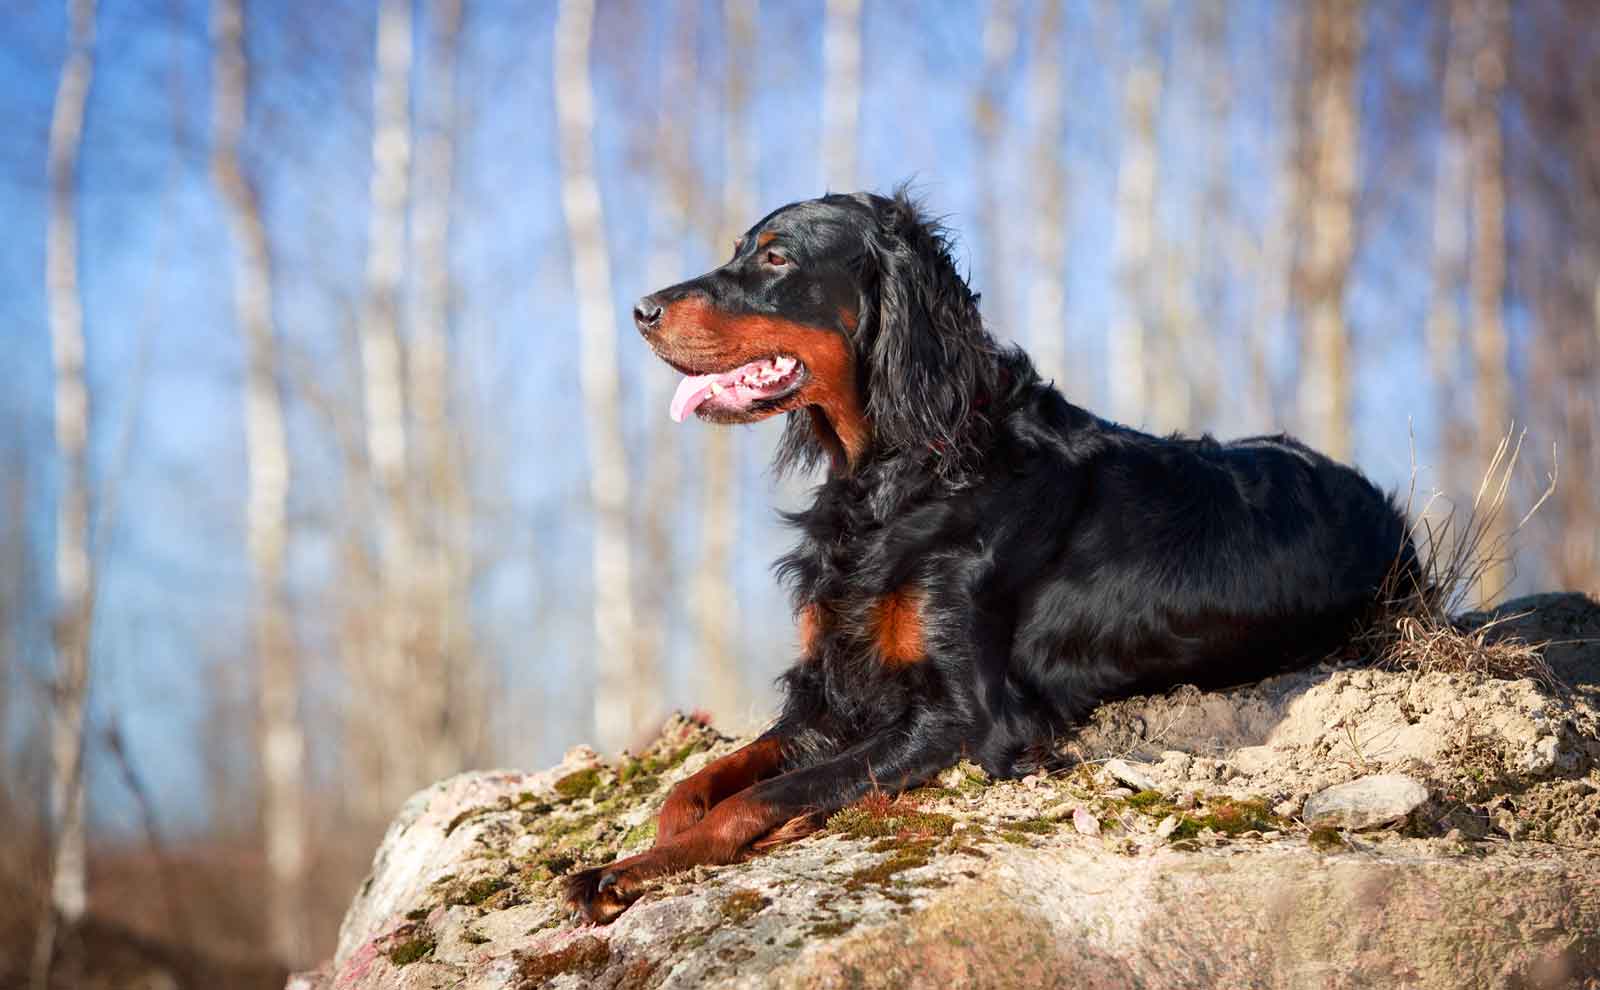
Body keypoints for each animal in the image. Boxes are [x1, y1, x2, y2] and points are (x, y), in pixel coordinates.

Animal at [563, 187, 1414, 927]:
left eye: (776, 258)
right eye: (741, 249)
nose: (641, 311)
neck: (907, 472)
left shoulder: (960, 718)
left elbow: (762, 797)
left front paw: (633, 871)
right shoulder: (829, 689)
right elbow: (694, 785)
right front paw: (640, 852)